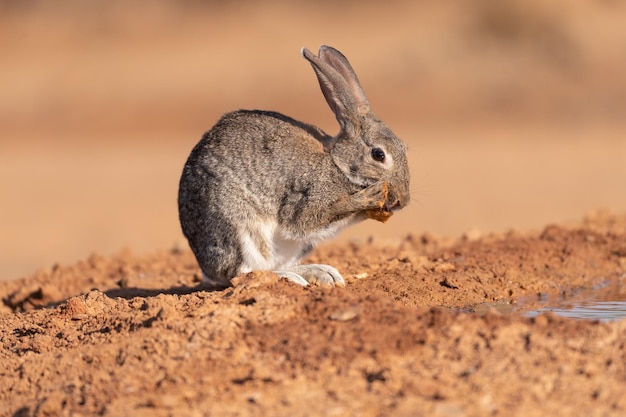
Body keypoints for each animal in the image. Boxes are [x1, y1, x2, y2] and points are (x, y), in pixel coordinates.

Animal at [177, 44, 410, 286]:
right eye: (378, 154)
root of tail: (207, 267)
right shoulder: (305, 200)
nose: (402, 201)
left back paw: (322, 273)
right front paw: (368, 198)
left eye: (404, 147)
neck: (338, 164)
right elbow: (308, 219)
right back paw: (292, 278)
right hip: (239, 228)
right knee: (242, 273)